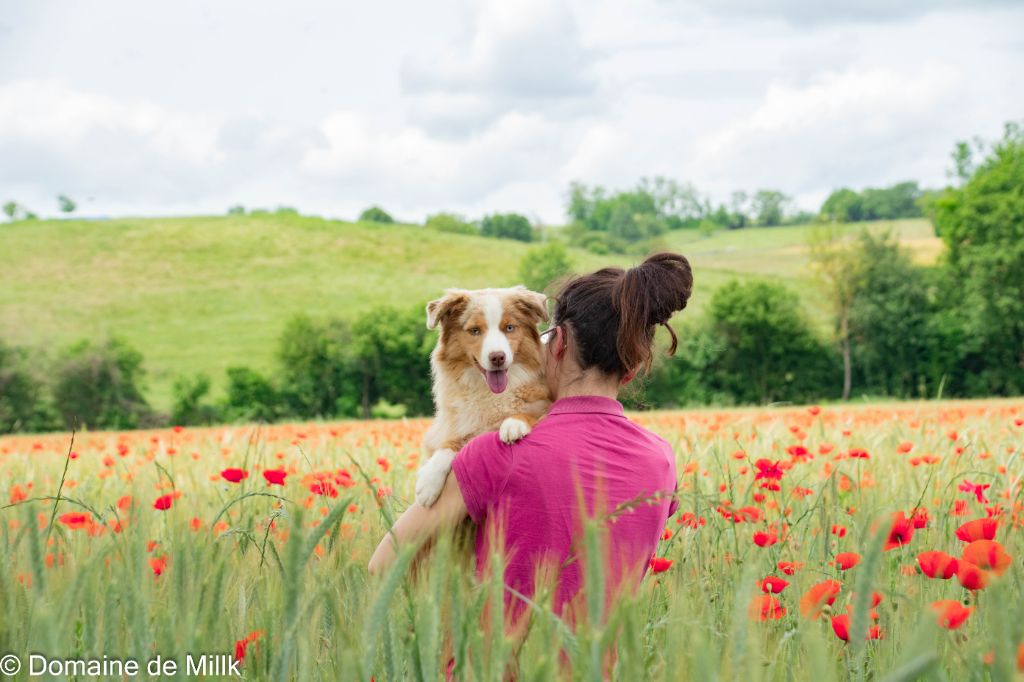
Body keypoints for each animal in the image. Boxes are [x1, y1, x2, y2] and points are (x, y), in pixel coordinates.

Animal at [417, 284, 557, 501]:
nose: (498, 357)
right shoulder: (458, 426)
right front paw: (429, 479)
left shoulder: (544, 403)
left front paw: (513, 423)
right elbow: (448, 444)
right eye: (474, 330)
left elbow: (528, 413)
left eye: (509, 327)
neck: (490, 393)